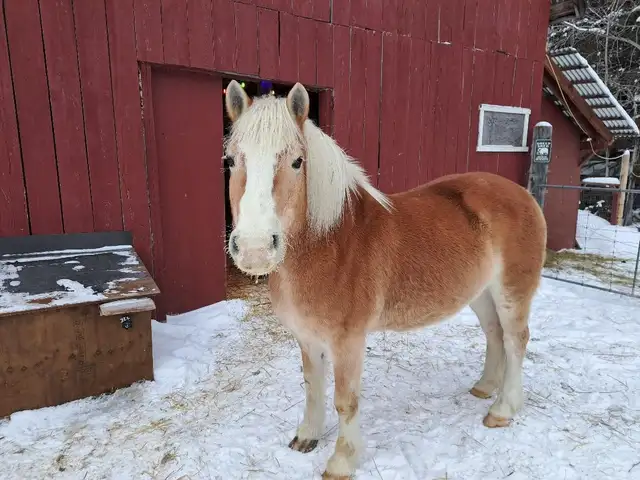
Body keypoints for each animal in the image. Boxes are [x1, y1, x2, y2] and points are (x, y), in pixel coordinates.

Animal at [223, 80, 547, 479]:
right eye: (231, 160)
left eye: (297, 162)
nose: (254, 248)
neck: (331, 242)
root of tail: (522, 194)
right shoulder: (307, 337)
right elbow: (312, 387)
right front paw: (307, 437)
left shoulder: (347, 342)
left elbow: (345, 401)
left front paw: (341, 461)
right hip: (480, 293)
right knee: (495, 335)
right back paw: (485, 387)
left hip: (511, 292)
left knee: (516, 340)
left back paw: (502, 409)